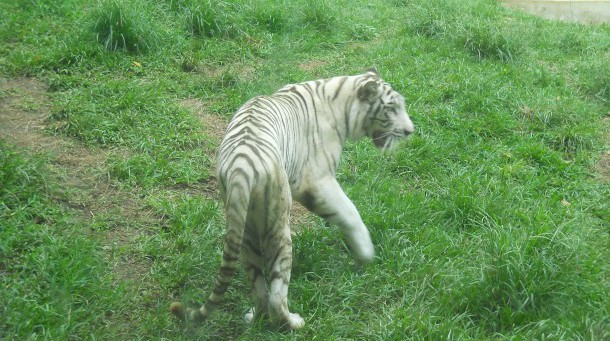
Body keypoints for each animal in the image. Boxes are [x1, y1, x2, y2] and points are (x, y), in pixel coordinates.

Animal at [169, 67, 410, 328]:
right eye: (392, 109)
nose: (410, 131)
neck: (342, 102)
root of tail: (241, 169)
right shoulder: (318, 182)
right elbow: (350, 213)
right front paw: (366, 255)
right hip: (278, 224)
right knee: (277, 295)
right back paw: (294, 322)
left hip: (245, 228)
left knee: (259, 289)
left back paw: (254, 317)